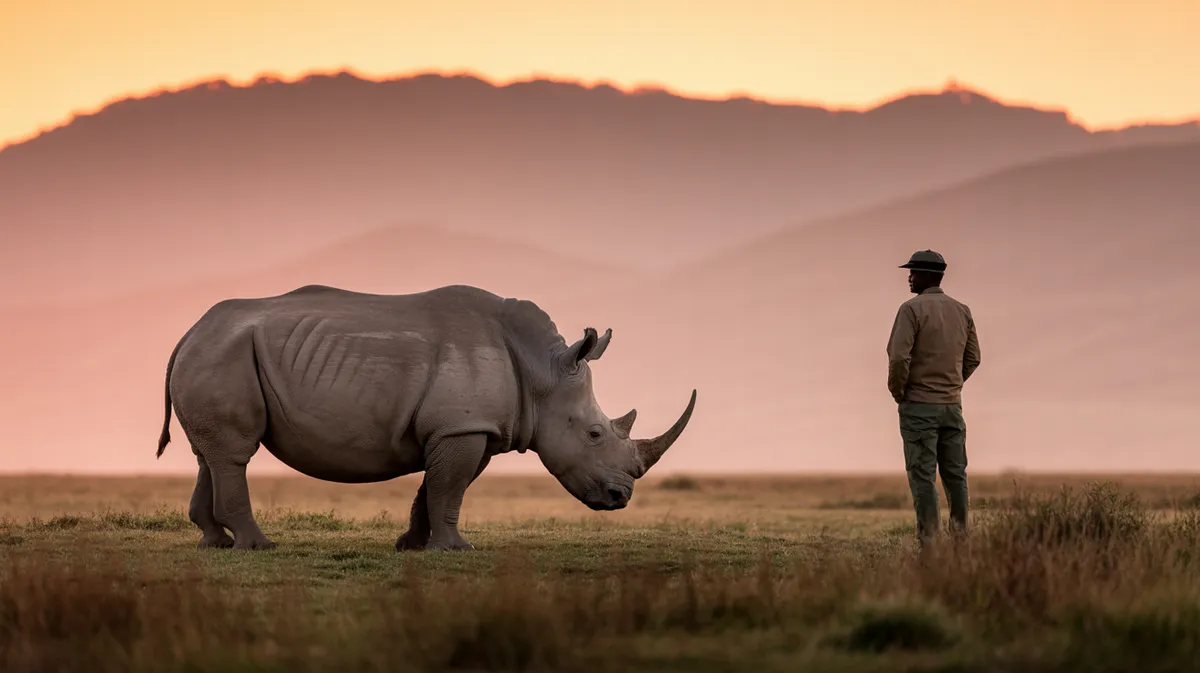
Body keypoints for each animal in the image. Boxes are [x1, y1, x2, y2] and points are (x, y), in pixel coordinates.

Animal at [156, 284, 696, 551]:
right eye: (595, 433)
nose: (620, 499)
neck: (541, 373)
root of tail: (187, 331)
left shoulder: (469, 427)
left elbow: (436, 487)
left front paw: (412, 546)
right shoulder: (463, 425)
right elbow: (450, 487)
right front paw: (456, 550)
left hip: (218, 353)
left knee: (211, 454)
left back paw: (213, 543)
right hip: (223, 353)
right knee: (234, 453)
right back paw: (257, 547)